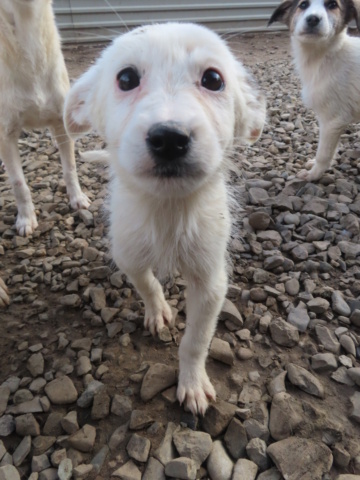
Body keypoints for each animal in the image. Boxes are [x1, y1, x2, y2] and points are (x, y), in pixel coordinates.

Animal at [0, 0, 89, 236]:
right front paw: (25, 218)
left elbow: (70, 169)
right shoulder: (6, 134)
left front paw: (77, 198)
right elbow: (18, 184)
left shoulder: (60, 120)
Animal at [63, 22, 264, 414]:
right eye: (126, 78)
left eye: (213, 79)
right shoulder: (127, 252)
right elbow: (146, 283)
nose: (169, 138)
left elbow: (196, 340)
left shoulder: (211, 280)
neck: (167, 210)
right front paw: (157, 312)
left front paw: (193, 384)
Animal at [268, 0, 360, 181]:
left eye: (332, 5)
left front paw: (314, 175)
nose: (313, 19)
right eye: (303, 5)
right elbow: (332, 149)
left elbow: (323, 153)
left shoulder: (333, 120)